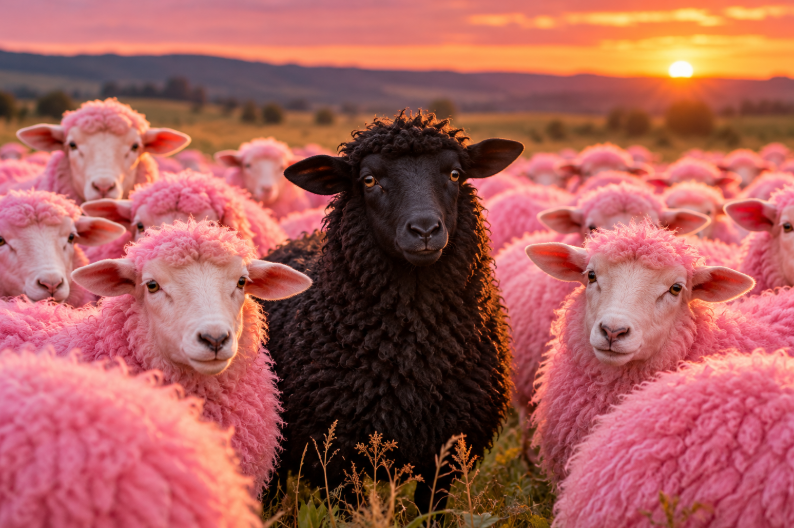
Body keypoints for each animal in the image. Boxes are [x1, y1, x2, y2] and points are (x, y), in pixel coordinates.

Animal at [259, 111, 522, 511]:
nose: (425, 229)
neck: (411, 349)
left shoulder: (444, 456)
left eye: (455, 174)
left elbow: (430, 512)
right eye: (369, 180)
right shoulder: (337, 460)